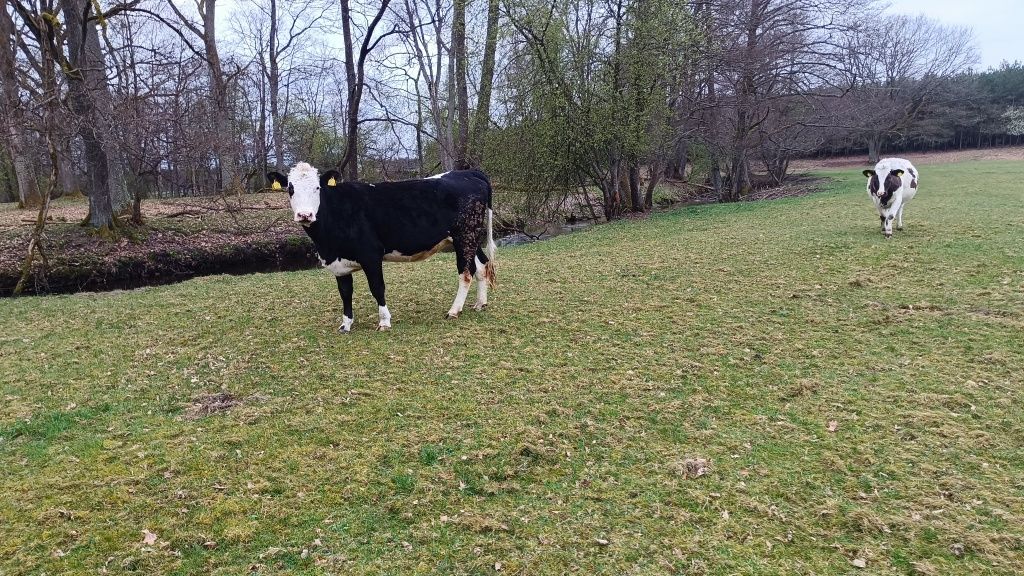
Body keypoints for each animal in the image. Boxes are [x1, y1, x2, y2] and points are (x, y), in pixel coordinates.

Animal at [268, 163, 495, 330]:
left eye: (317, 188)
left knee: (466, 272)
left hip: (464, 235)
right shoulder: (339, 264)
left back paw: (454, 310)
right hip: (468, 238)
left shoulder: (371, 255)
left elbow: (377, 288)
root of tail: (468, 172)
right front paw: (346, 324)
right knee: (481, 266)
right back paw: (480, 303)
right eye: (290, 189)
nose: (305, 214)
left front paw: (384, 321)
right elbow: (345, 292)